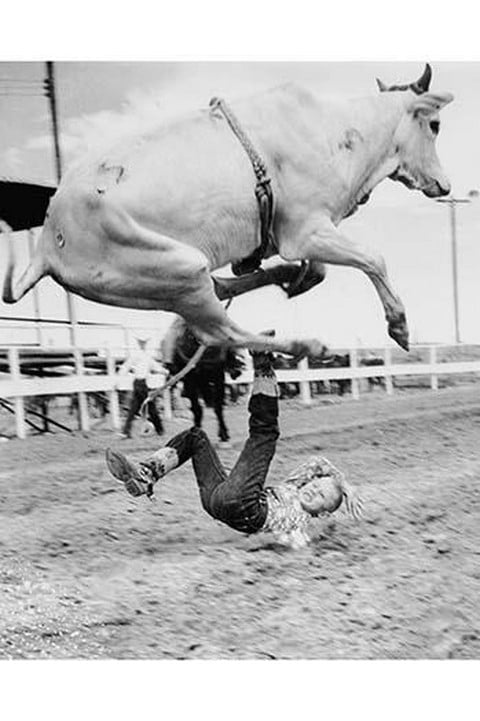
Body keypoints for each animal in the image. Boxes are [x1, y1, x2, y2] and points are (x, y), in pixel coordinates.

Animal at [2, 64, 453, 357]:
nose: (445, 186)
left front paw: (294, 277)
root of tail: (47, 243)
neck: (339, 133)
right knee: (220, 332)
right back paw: (309, 345)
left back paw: (273, 283)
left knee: (219, 300)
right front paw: (399, 326)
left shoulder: (299, 234)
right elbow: (373, 258)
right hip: (178, 267)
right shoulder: (306, 231)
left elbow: (320, 270)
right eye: (434, 125)